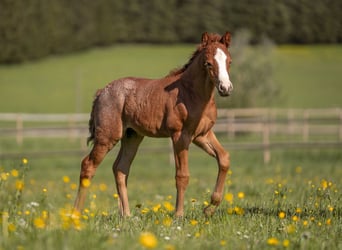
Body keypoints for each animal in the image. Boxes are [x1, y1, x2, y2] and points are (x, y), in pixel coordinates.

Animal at [74, 32, 235, 217]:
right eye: (208, 63)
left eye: (230, 61)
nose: (225, 88)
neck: (192, 93)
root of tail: (102, 92)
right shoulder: (180, 136)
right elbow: (182, 176)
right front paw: (178, 215)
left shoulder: (202, 135)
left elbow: (224, 158)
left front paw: (209, 208)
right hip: (107, 137)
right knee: (88, 165)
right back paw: (75, 214)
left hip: (132, 136)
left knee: (120, 168)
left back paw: (127, 215)